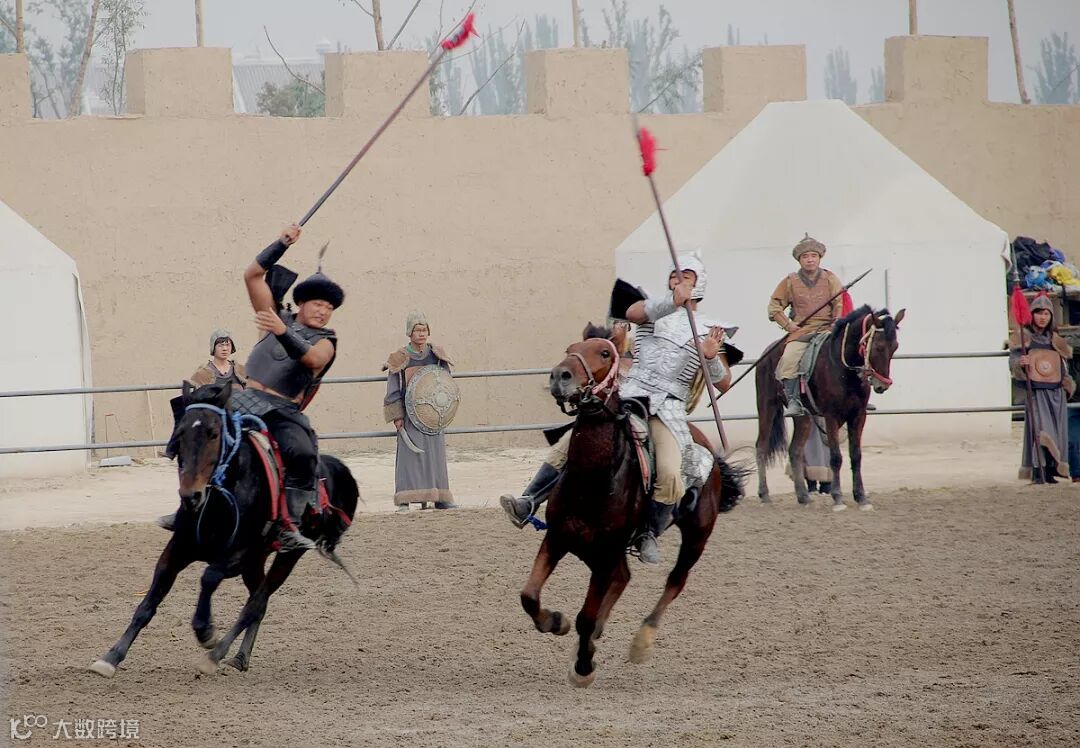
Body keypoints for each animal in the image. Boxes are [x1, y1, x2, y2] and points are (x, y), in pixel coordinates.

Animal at [89, 381, 360, 677]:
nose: (191, 495)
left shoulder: (237, 555)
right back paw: (240, 658)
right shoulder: (178, 549)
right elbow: (148, 604)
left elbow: (208, 578)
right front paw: (111, 657)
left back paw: (215, 655)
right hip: (256, 562)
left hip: (286, 557)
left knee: (255, 604)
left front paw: (206, 632)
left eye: (214, 433)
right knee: (258, 602)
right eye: (180, 433)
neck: (220, 499)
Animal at [517, 324, 745, 687]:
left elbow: (585, 616)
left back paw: (642, 640)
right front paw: (555, 622)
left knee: (675, 581)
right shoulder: (558, 537)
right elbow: (530, 595)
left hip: (697, 534)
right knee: (623, 578)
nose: (559, 376)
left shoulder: (605, 553)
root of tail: (710, 451)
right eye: (570, 348)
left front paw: (583, 668)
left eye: (604, 353)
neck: (592, 482)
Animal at [755, 305, 905, 510]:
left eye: (894, 347)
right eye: (878, 346)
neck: (844, 369)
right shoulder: (831, 417)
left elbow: (856, 455)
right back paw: (764, 494)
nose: (882, 385)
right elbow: (835, 457)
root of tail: (767, 353)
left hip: (804, 417)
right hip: (767, 405)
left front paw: (861, 497)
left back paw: (803, 496)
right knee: (761, 446)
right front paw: (838, 497)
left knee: (795, 450)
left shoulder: (858, 416)